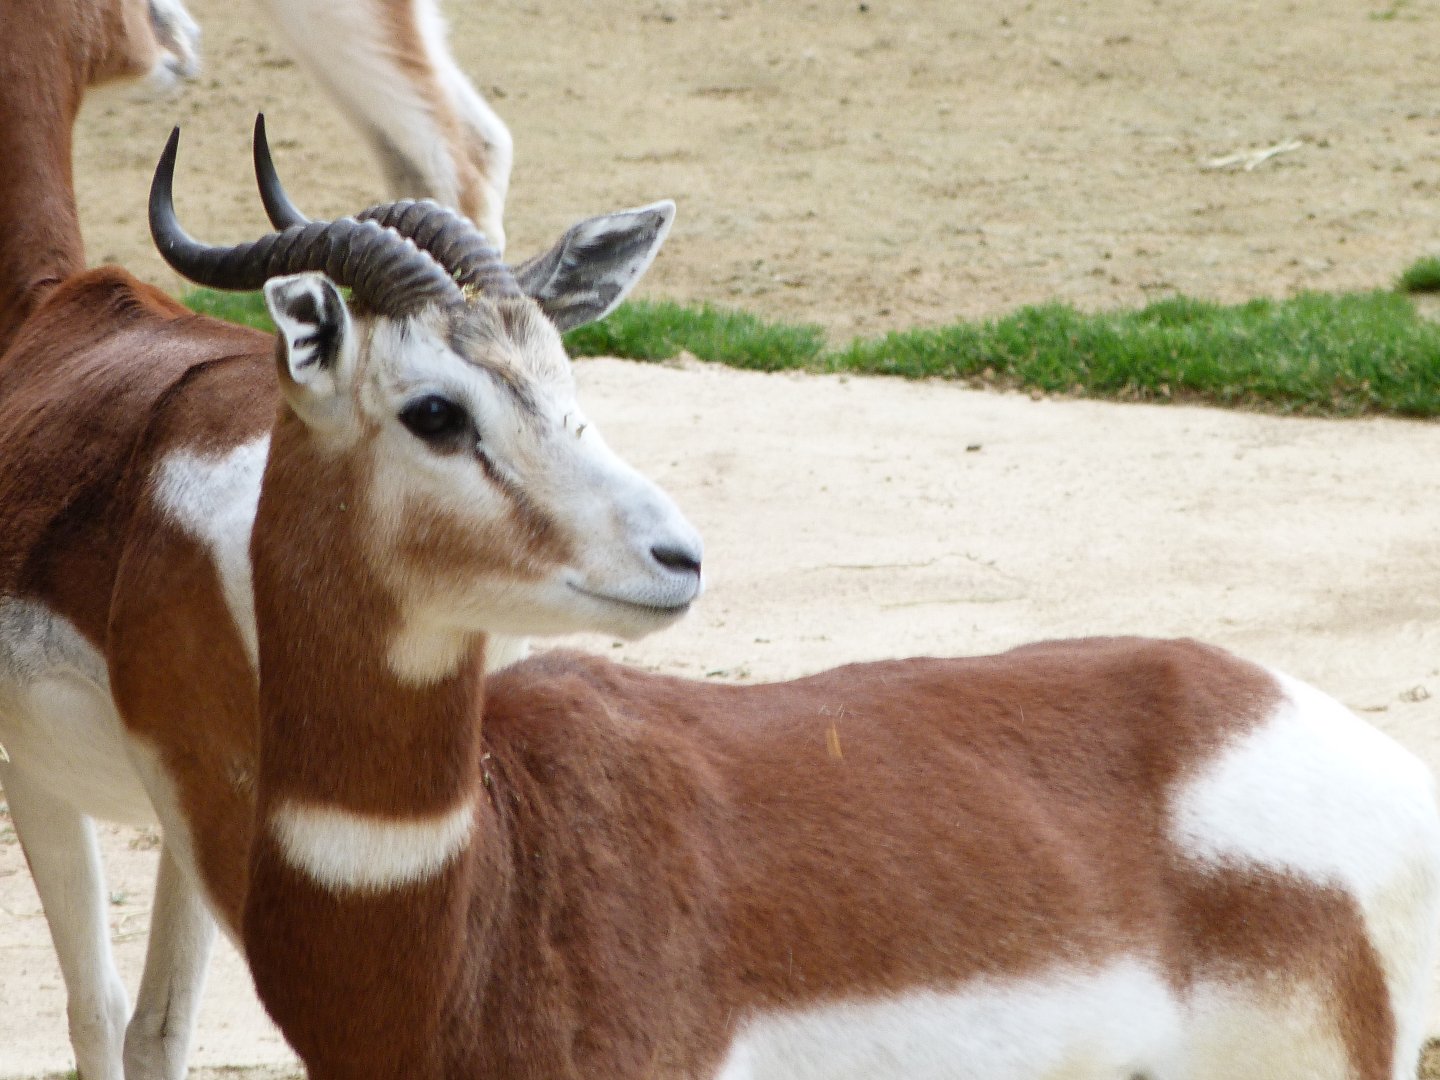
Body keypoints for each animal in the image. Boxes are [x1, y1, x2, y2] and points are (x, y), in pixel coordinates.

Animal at [0, 11, 696, 1079]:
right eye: (446, 408)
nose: (677, 556)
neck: (47, 317)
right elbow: (149, 1025)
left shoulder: (39, 778)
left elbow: (104, 1016)